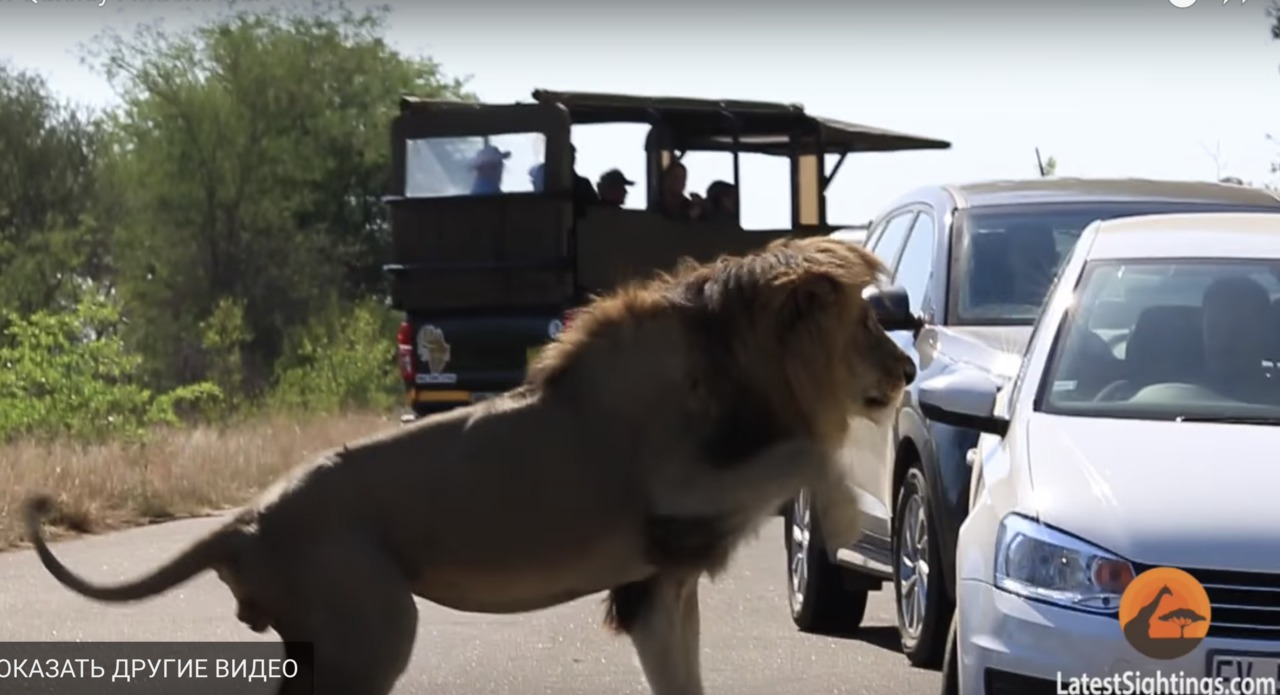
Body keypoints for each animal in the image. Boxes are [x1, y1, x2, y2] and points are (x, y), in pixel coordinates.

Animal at [24, 235, 916, 695]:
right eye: (870, 324)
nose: (910, 370)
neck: (742, 367)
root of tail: (245, 518)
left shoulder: (659, 585)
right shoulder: (669, 491)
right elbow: (808, 448)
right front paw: (844, 512)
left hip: (331, 640)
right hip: (375, 627)